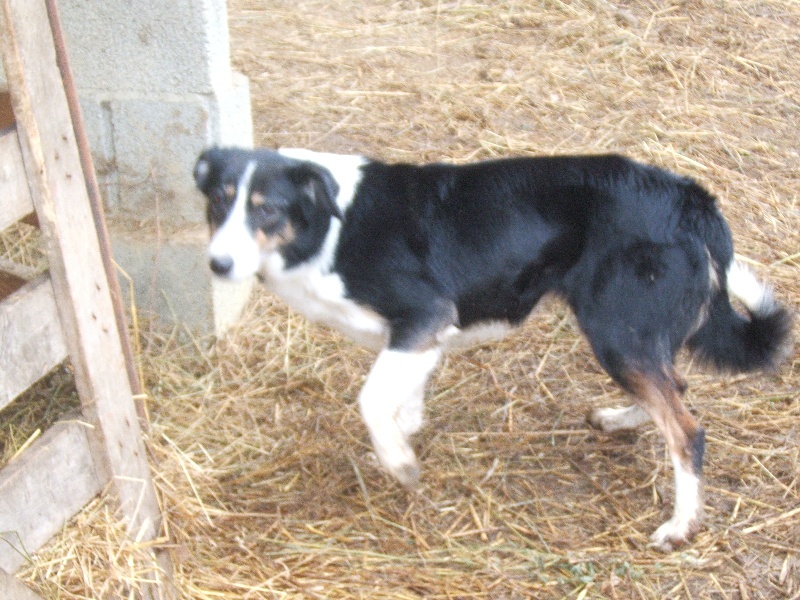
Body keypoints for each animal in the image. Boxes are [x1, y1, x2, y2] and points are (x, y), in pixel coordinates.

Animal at [194, 146, 791, 551]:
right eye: (218, 205)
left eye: (266, 211)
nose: (217, 265)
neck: (326, 228)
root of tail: (693, 201)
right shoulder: (423, 337)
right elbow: (400, 399)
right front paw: (403, 435)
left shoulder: (424, 315)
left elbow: (371, 401)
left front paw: (399, 463)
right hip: (631, 337)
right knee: (674, 391)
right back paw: (621, 419)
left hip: (617, 330)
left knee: (687, 429)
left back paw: (679, 525)